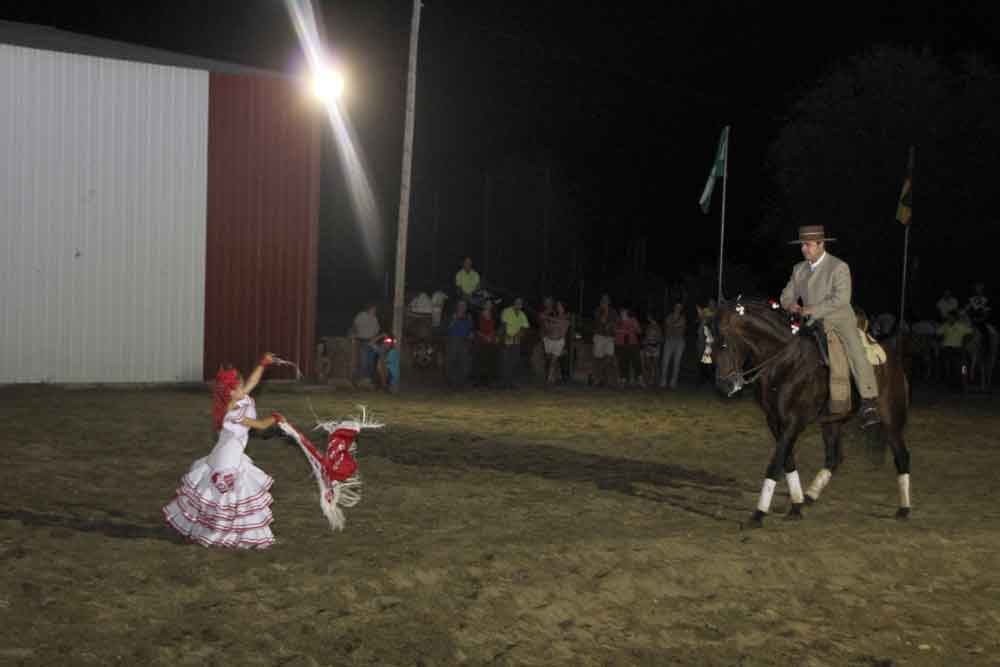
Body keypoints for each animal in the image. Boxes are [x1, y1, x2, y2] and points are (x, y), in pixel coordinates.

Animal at [712, 302, 916, 528]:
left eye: (724, 345)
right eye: (710, 343)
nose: (724, 386)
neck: (787, 362)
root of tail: (893, 362)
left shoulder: (794, 421)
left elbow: (775, 464)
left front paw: (759, 513)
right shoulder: (774, 421)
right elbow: (787, 460)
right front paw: (796, 505)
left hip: (891, 420)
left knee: (902, 456)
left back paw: (904, 509)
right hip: (832, 422)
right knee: (833, 458)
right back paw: (809, 496)